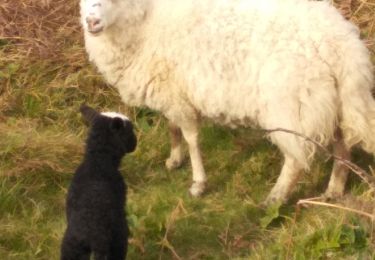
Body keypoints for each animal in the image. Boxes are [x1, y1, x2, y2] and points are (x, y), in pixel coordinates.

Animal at [61, 105, 137, 260]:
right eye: (130, 130)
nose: (135, 144)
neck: (97, 161)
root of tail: (90, 235)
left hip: (71, 250)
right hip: (115, 242)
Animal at [79, 0, 375, 203]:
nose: (91, 22)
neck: (146, 21)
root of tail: (341, 45)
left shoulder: (179, 97)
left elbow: (191, 138)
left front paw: (198, 183)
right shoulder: (170, 90)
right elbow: (172, 128)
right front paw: (174, 159)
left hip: (292, 103)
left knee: (296, 158)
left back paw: (276, 197)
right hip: (334, 100)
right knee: (343, 144)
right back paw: (334, 189)